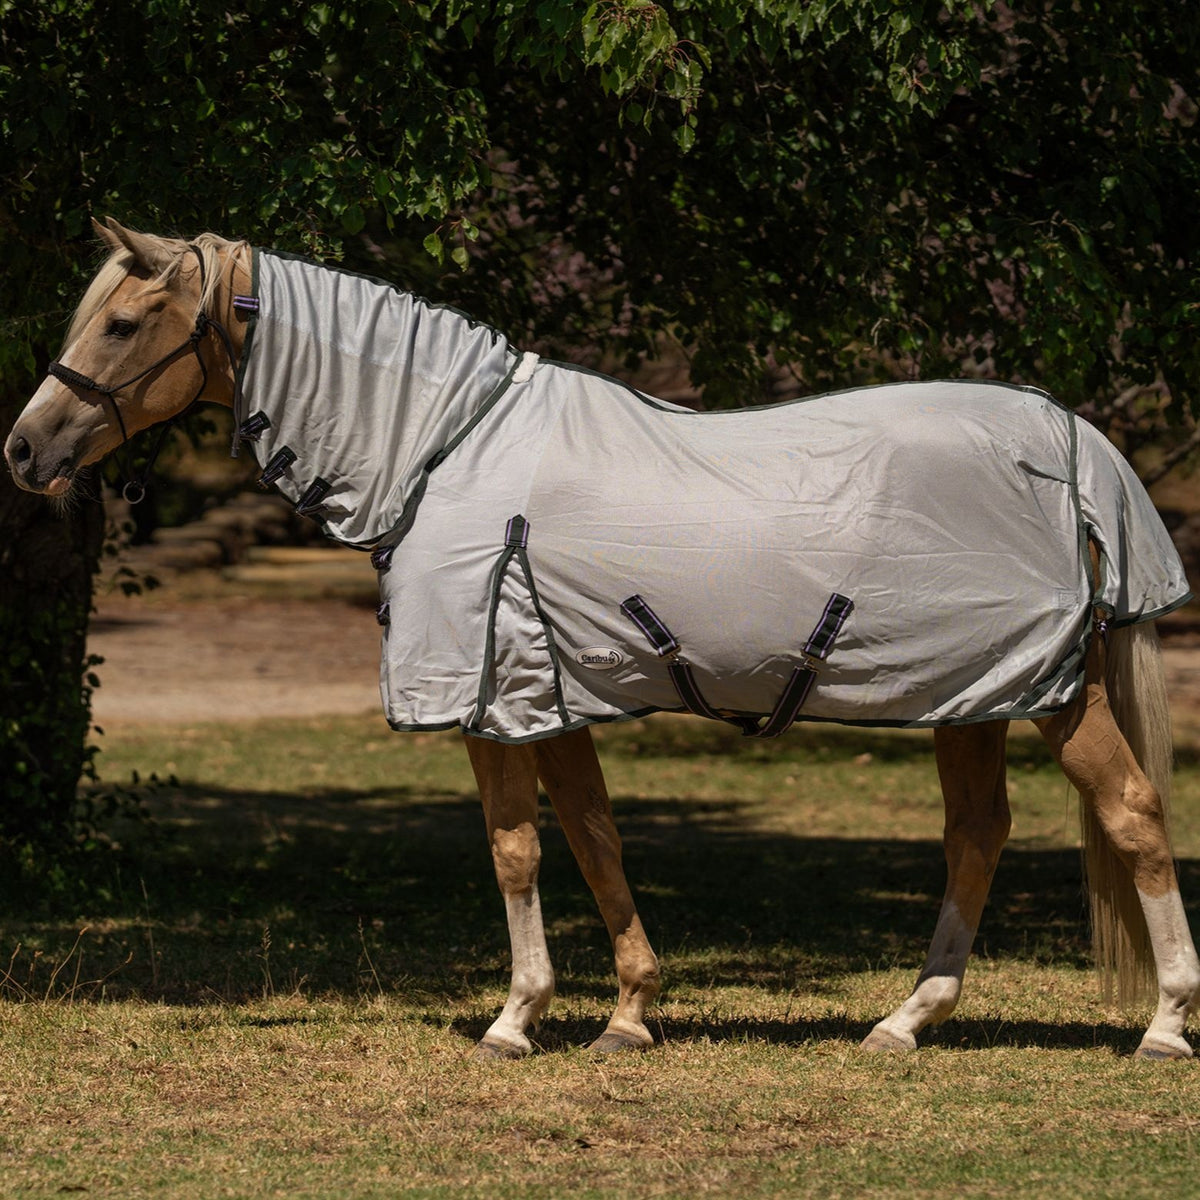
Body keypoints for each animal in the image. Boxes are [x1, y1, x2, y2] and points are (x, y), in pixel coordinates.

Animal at [6, 217, 1199, 1060]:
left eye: (120, 325)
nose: (22, 450)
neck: (446, 447)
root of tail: (1067, 434)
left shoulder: (488, 699)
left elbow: (516, 848)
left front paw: (516, 1017)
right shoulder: (549, 693)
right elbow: (594, 836)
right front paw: (629, 1012)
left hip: (1050, 692)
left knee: (1133, 814)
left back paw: (1164, 1024)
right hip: (976, 696)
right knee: (976, 834)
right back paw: (905, 1022)